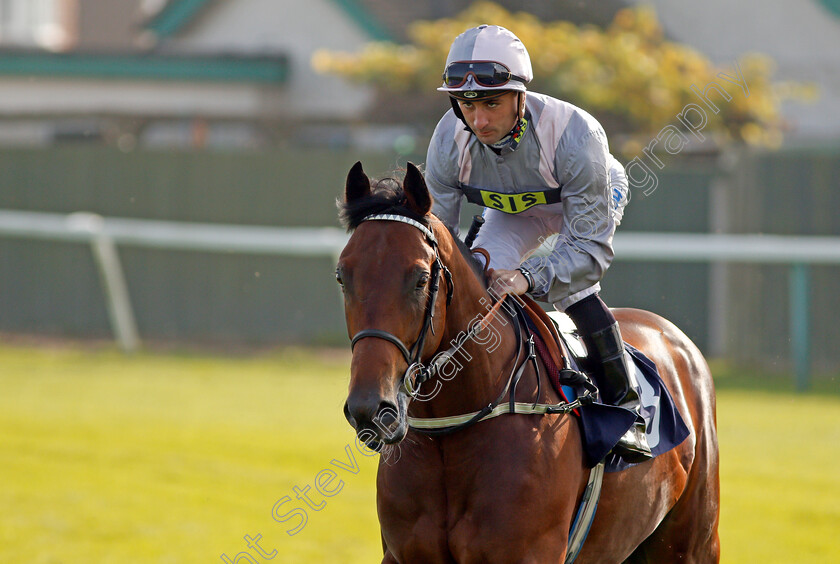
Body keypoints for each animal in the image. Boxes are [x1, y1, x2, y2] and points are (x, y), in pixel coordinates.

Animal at [338, 161, 720, 560]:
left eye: (420, 279)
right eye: (342, 277)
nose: (370, 408)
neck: (451, 431)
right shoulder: (403, 553)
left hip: (693, 543)